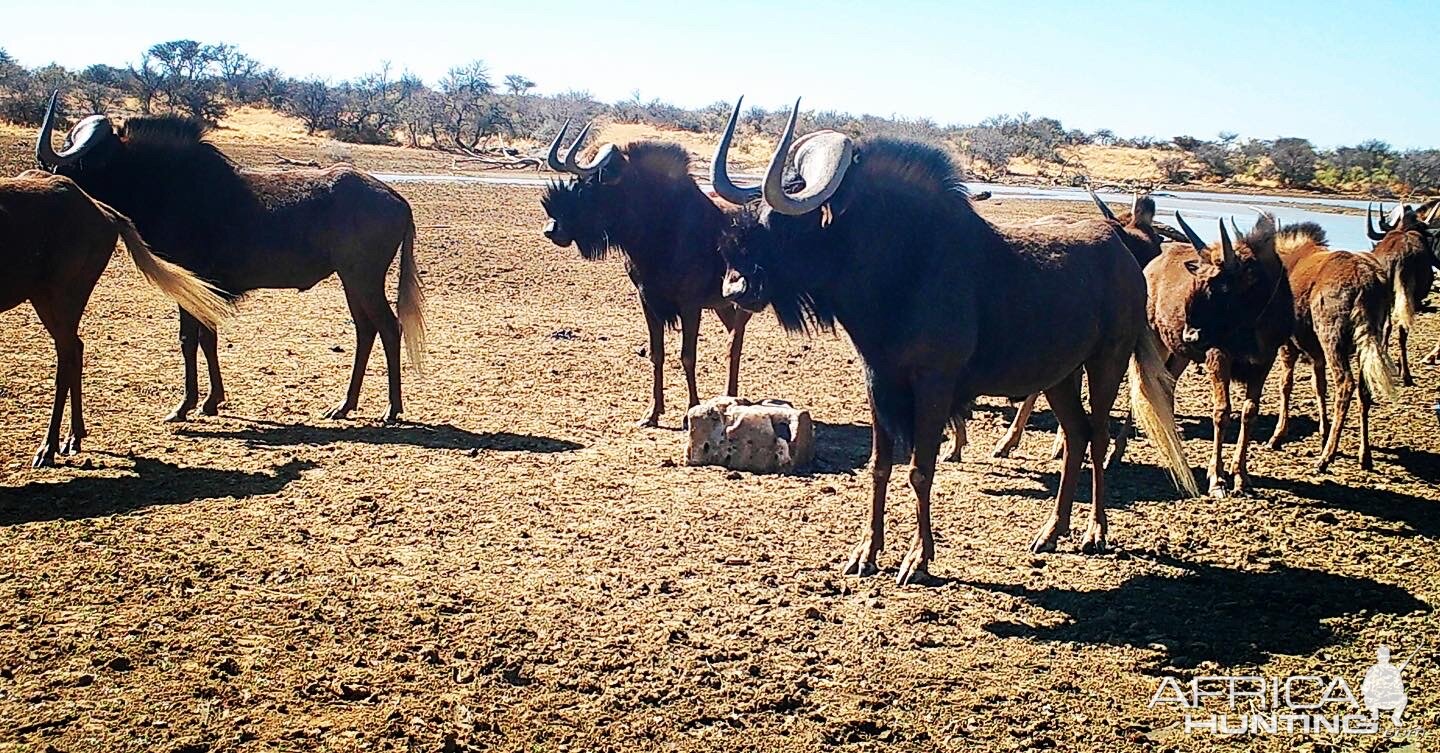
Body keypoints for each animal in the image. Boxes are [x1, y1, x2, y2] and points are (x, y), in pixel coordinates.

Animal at [0, 172, 230, 466]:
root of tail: (100, 210)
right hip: (45, 297)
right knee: (75, 351)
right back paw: (73, 437)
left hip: (61, 296)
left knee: (68, 357)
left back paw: (49, 448)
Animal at [35, 93, 420, 420]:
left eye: (81, 155)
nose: (48, 174)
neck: (167, 184)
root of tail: (397, 200)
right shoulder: (203, 288)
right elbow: (208, 338)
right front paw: (211, 401)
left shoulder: (192, 284)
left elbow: (189, 339)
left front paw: (185, 405)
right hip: (352, 282)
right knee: (365, 331)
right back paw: (345, 405)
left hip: (362, 279)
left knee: (388, 327)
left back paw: (391, 408)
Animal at [541, 118, 754, 426]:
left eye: (592, 183)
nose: (552, 229)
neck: (659, 232)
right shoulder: (647, 300)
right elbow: (657, 354)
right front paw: (652, 412)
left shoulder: (690, 305)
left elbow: (687, 355)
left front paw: (690, 411)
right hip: (722, 305)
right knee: (732, 341)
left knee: (734, 345)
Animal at [708, 98, 1192, 584]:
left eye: (792, 216)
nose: (734, 286)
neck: (906, 266)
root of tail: (1126, 257)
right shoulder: (879, 382)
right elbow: (880, 467)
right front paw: (866, 553)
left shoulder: (934, 385)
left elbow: (921, 470)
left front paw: (918, 559)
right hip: (1061, 377)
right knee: (1075, 437)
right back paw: (1052, 532)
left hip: (1107, 363)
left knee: (1097, 437)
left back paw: (1095, 531)